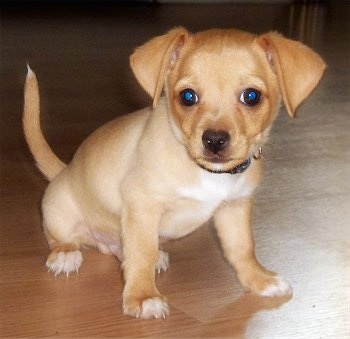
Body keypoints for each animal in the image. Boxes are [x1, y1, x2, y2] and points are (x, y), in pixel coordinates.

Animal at [23, 27, 326, 320]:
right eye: (188, 96)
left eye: (251, 96)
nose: (214, 140)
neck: (208, 173)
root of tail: (65, 170)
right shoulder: (142, 205)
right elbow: (142, 253)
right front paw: (142, 296)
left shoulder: (234, 208)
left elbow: (242, 249)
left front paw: (259, 280)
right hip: (58, 212)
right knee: (60, 237)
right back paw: (65, 254)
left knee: (120, 250)